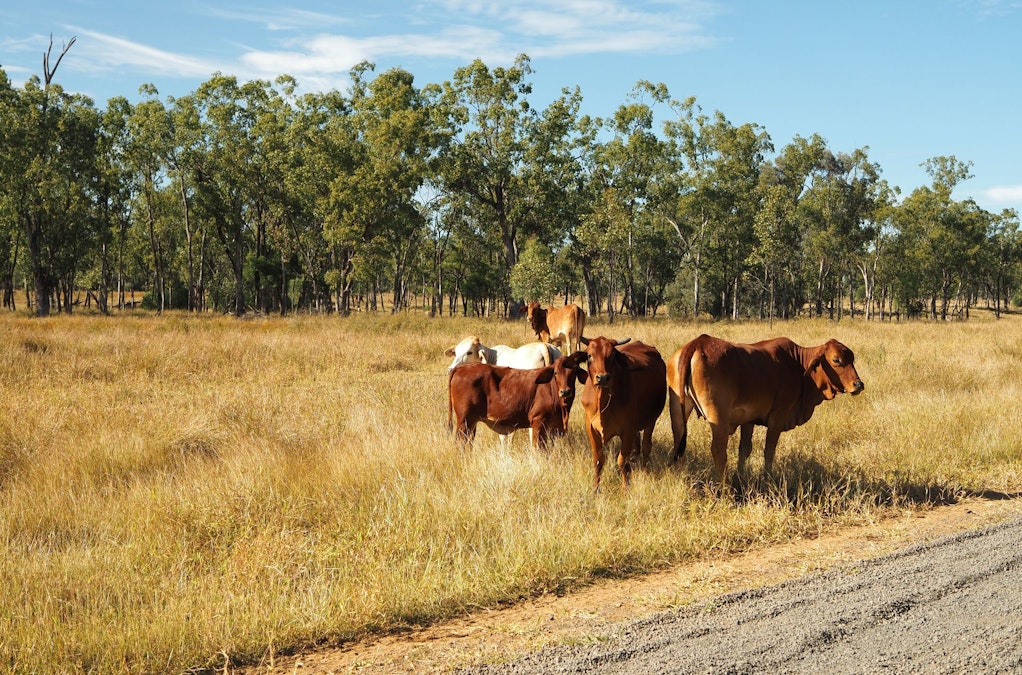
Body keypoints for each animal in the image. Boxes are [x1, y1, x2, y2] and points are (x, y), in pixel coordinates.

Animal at [447, 355, 584, 450]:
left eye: (574, 372)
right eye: (556, 372)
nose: (565, 391)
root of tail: (461, 368)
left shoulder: (554, 428)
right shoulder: (538, 422)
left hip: (471, 423)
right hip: (464, 421)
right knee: (460, 443)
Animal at [572, 337, 666, 490]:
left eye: (612, 356)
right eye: (589, 355)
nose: (602, 377)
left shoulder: (627, 430)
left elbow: (622, 461)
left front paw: (625, 488)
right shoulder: (591, 428)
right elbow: (598, 460)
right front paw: (595, 488)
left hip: (651, 420)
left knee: (646, 447)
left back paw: (644, 471)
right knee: (637, 447)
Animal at [666, 333, 866, 482]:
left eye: (852, 359)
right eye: (836, 360)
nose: (858, 384)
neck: (798, 364)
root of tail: (698, 343)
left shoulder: (748, 419)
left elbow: (744, 449)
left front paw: (741, 476)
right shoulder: (778, 418)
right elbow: (769, 451)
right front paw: (767, 479)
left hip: (677, 409)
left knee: (678, 443)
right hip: (717, 417)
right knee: (718, 451)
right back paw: (724, 487)